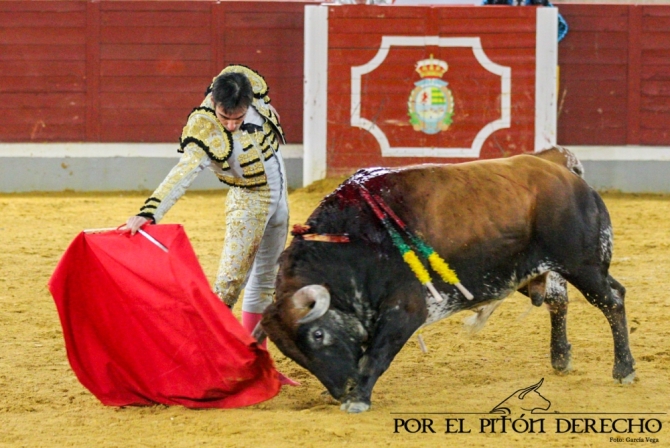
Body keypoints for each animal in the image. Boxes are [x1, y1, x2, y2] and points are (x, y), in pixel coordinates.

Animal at [258, 148, 636, 412]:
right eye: (290, 353)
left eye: (318, 335)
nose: (342, 390)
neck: (354, 240)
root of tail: (563, 170)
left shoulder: (406, 310)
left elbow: (377, 353)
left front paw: (359, 399)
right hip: (540, 271)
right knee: (562, 300)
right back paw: (561, 358)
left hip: (583, 265)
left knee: (613, 299)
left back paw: (624, 370)